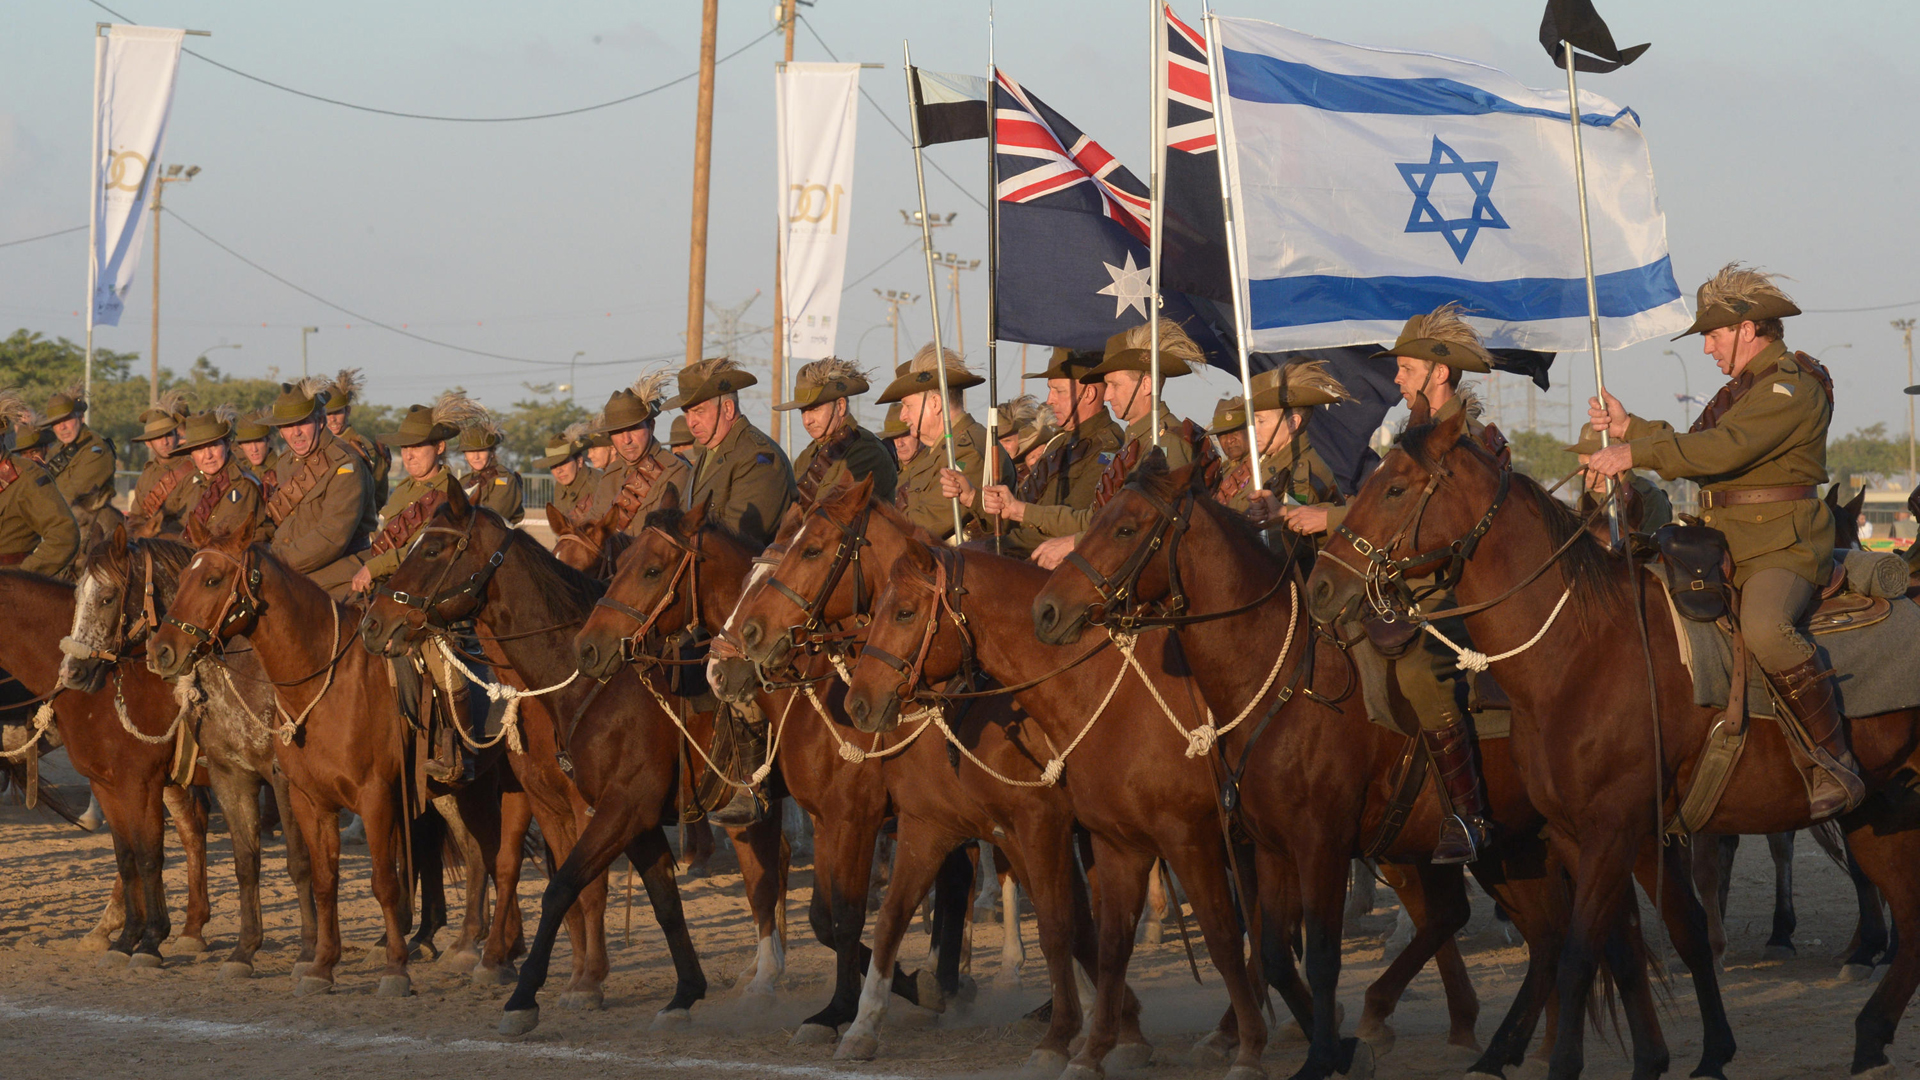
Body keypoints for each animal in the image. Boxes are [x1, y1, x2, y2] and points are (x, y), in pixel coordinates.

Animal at [355, 484, 714, 1030]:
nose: (374, 623)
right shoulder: (551, 803)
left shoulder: (603, 807)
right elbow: (568, 886)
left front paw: (582, 982)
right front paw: (573, 975)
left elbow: (580, 887)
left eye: (433, 549)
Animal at [576, 495, 1121, 1068]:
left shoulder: (859, 818)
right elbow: (825, 915)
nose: (586, 648)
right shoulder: (831, 820)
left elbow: (846, 915)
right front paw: (870, 1000)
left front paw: (845, 1009)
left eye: (651, 568)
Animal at [1313, 405, 1920, 1076]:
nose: (1320, 586)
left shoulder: (1613, 829)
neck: (1581, 649)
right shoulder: (1586, 834)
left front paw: (1566, 1062)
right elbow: (1643, 943)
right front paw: (1700, 1053)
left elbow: (1581, 953)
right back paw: (1870, 1038)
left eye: (1395, 488)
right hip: (1882, 813)